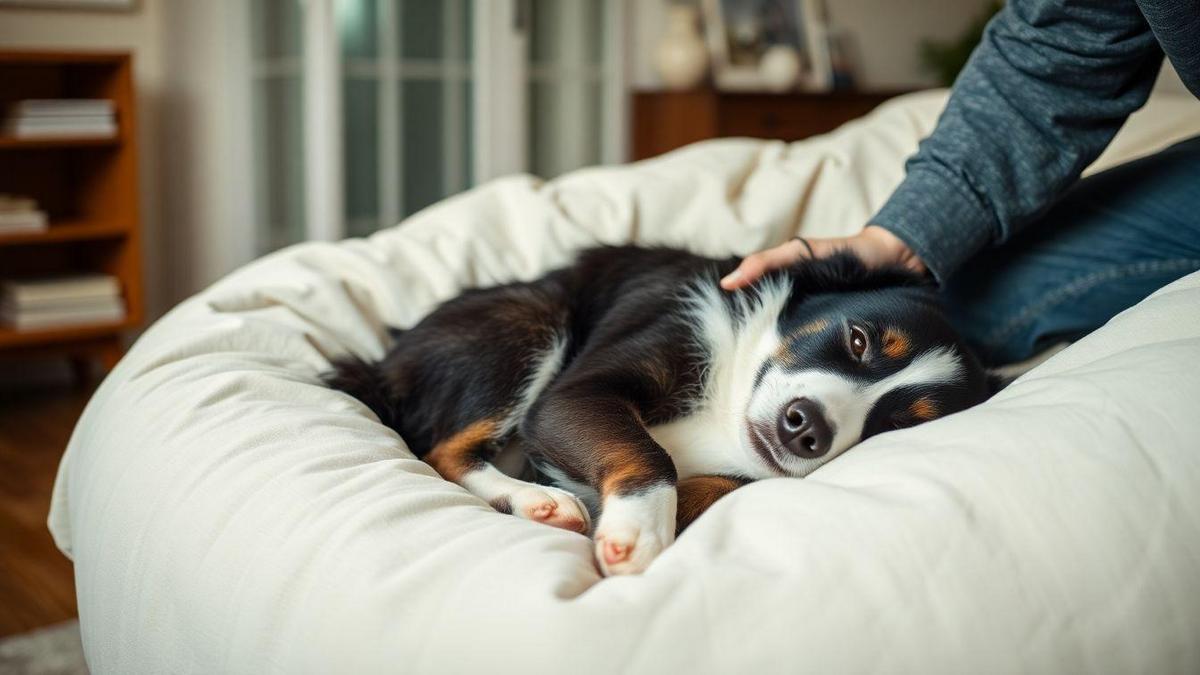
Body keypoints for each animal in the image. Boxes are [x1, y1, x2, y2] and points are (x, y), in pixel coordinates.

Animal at [328, 246, 993, 571]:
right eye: (859, 340)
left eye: (896, 423)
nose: (805, 428)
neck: (730, 394)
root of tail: (384, 363)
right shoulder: (576, 391)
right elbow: (651, 454)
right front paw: (636, 532)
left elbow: (722, 483)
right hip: (532, 315)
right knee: (443, 449)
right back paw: (537, 499)